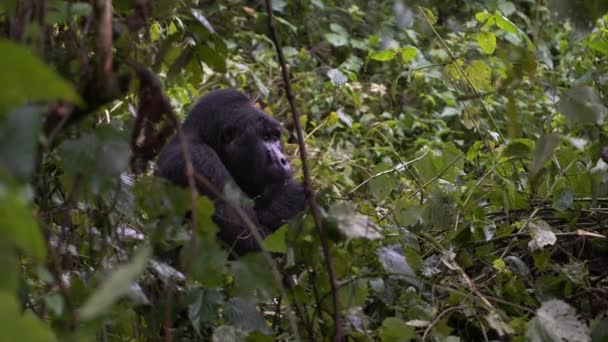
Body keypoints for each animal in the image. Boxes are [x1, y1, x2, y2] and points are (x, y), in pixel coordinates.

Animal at [156, 89, 304, 255]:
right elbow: (255, 242)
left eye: (275, 138)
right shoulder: (200, 162)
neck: (205, 137)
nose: (283, 160)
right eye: (265, 137)